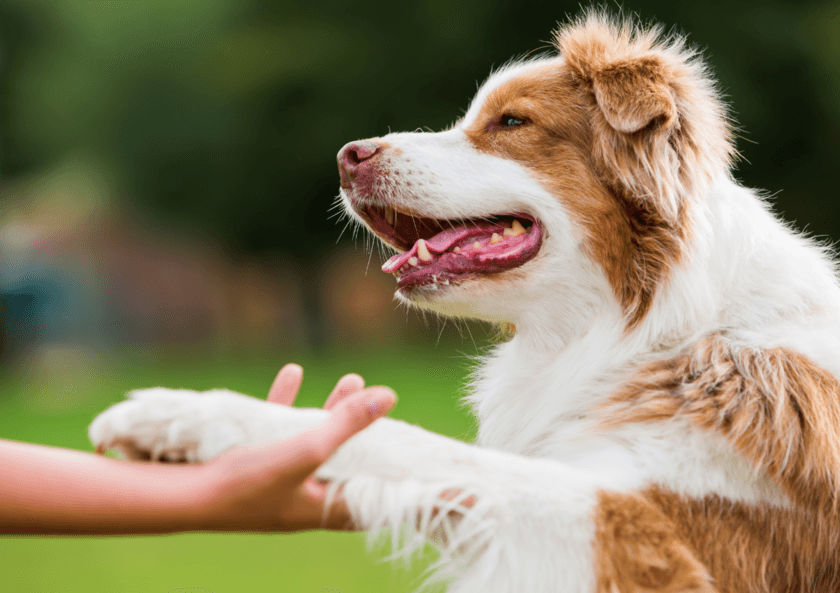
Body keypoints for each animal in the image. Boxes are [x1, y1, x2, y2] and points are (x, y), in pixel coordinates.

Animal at [88, 13, 840, 592]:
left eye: (511, 121)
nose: (347, 155)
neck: (656, 324)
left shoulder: (651, 535)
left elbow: (414, 443)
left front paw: (186, 412)